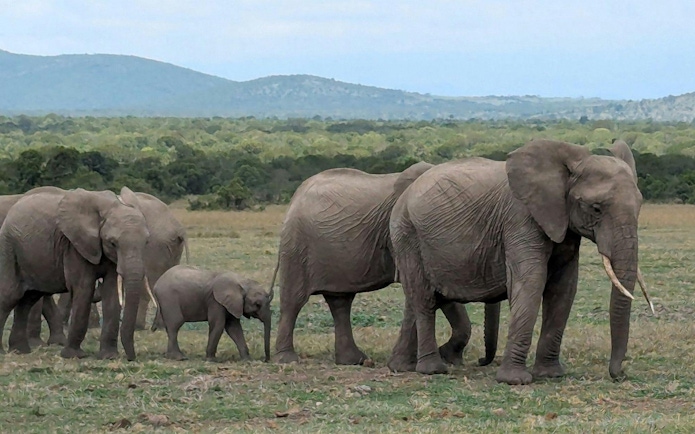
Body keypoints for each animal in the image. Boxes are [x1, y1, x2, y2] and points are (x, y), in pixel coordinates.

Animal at [0, 186, 151, 360]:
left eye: (146, 242)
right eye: (113, 243)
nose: (131, 357)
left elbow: (112, 292)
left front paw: (109, 356)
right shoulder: (73, 245)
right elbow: (84, 288)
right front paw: (73, 356)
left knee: (28, 299)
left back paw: (20, 351)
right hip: (9, 247)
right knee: (10, 296)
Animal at [272, 161, 501, 366]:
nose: (481, 361)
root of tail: (296, 195)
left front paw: (450, 358)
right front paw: (446, 357)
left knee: (340, 301)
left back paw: (354, 361)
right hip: (297, 246)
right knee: (294, 300)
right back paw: (287, 359)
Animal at [387, 139, 652, 385]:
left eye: (640, 206)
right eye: (596, 208)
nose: (620, 374)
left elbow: (564, 289)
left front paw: (550, 374)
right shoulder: (521, 218)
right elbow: (531, 282)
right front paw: (515, 380)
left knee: (415, 298)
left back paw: (401, 366)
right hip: (407, 233)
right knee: (423, 298)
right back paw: (432, 369)